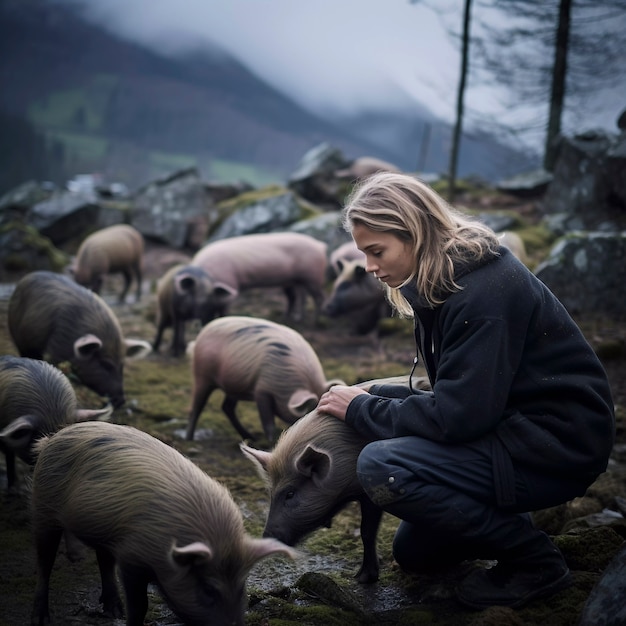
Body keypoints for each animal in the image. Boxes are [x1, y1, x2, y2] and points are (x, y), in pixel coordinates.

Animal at [7, 270, 151, 408]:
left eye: (122, 365)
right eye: (105, 364)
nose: (121, 401)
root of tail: (27, 277)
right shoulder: (55, 349)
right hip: (19, 338)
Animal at [28, 420, 292, 624]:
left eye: (242, 586)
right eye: (209, 589)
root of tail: (51, 439)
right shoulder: (131, 557)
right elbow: (139, 606)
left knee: (103, 560)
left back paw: (114, 612)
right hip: (43, 507)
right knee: (44, 560)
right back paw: (41, 619)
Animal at [186, 314, 342, 442]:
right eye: (307, 413)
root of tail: (199, 338)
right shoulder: (262, 390)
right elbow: (268, 422)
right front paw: (271, 443)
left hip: (234, 387)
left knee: (227, 407)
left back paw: (250, 438)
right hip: (202, 375)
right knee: (196, 407)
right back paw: (189, 438)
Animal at [189, 232, 326, 324]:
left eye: (205, 302)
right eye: (194, 302)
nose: (201, 322)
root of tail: (319, 245)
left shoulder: (230, 284)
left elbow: (223, 308)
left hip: (313, 277)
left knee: (319, 298)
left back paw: (315, 321)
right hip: (296, 280)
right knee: (298, 297)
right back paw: (292, 318)